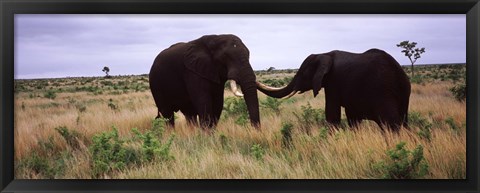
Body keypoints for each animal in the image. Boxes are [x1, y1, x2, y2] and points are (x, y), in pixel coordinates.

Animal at [256, 48, 410, 131]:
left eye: (303, 73)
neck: (324, 54)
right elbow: (351, 116)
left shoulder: (334, 81)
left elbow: (332, 114)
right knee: (403, 121)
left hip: (383, 92)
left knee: (391, 124)